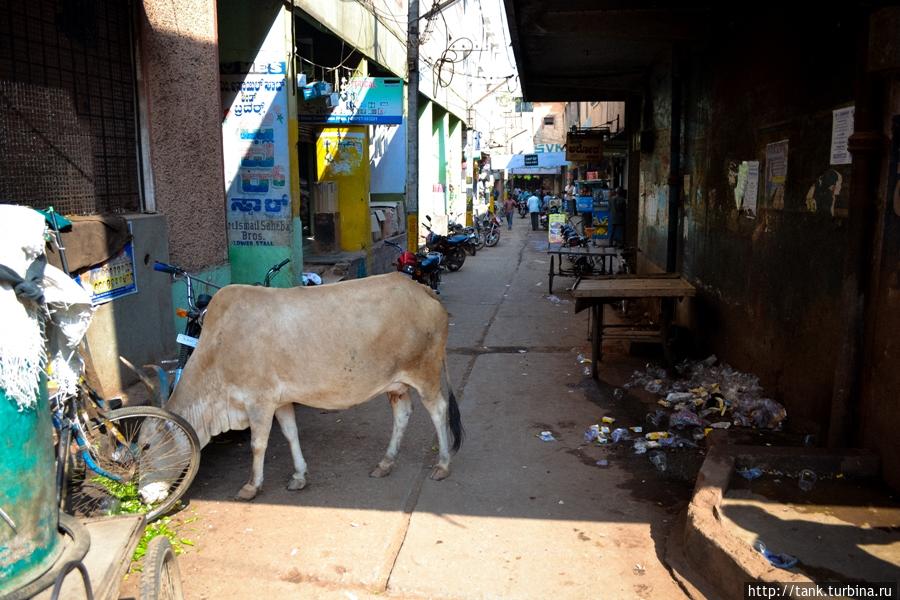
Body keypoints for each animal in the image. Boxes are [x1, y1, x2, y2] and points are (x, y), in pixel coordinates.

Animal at [164, 274, 464, 500]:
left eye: (149, 450)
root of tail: (421, 288)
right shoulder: (281, 400)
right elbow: (290, 434)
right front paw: (299, 475)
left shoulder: (258, 401)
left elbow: (258, 444)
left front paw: (251, 486)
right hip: (396, 384)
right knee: (402, 414)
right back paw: (385, 463)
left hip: (425, 373)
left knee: (438, 410)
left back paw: (443, 464)